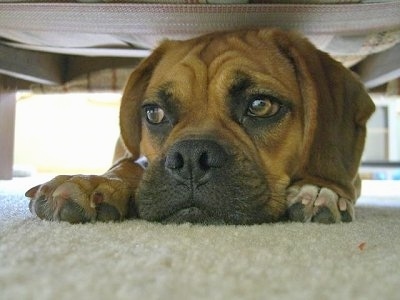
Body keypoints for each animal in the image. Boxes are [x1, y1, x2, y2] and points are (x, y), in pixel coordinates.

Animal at [25, 28, 376, 225]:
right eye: (154, 114)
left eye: (260, 106)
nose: (191, 158)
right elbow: (129, 166)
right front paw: (93, 183)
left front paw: (318, 189)